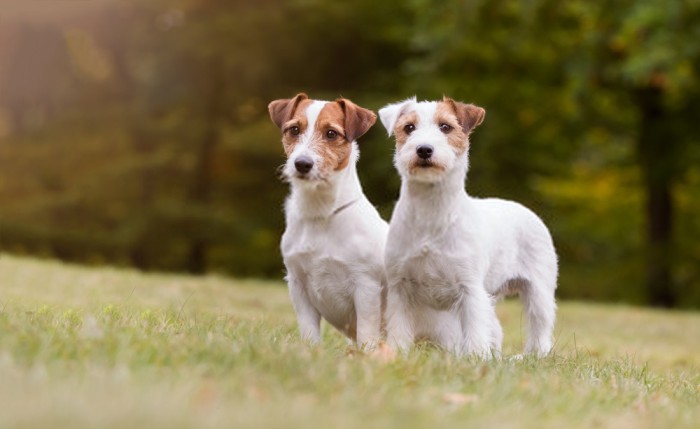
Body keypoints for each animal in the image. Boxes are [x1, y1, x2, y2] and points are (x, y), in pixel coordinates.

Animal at [268, 93, 388, 348]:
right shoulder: (298, 285)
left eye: (331, 133)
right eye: (294, 129)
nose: (302, 164)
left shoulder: (366, 287)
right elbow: (309, 331)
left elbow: (366, 334)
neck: (320, 213)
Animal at [378, 95, 556, 356]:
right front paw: (397, 354)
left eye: (445, 127)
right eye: (409, 128)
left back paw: (531, 357)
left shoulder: (470, 289)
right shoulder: (400, 288)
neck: (431, 211)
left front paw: (474, 358)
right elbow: (400, 328)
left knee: (540, 329)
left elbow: (474, 332)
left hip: (539, 292)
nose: (424, 149)